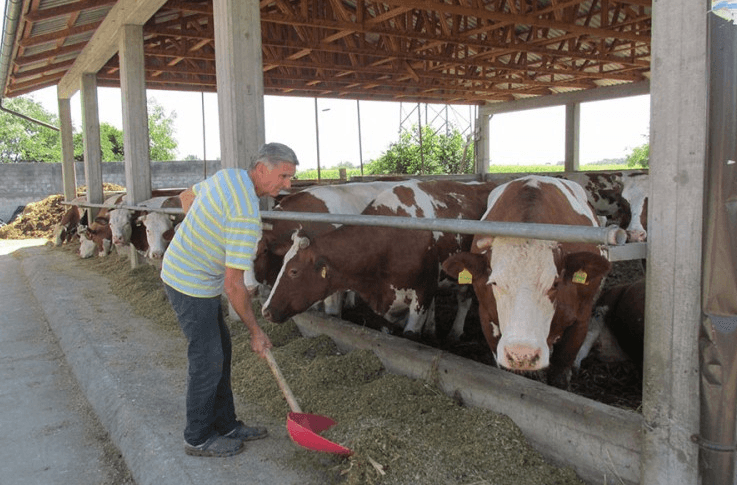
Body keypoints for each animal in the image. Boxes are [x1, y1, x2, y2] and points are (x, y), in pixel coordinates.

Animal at [262, 179, 498, 340]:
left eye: (293, 271)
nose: (266, 310)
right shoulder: (386, 303)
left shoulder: (422, 293)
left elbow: (411, 333)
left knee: (464, 299)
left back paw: (455, 332)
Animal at [442, 173, 608, 386]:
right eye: (494, 283)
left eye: (555, 284)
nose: (523, 354)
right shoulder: (487, 318)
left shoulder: (581, 319)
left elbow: (560, 373)